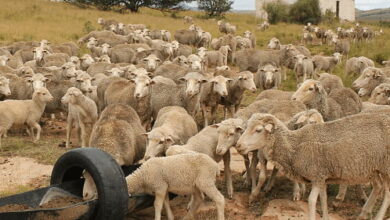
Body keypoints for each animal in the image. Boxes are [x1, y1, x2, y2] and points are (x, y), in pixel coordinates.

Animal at [235, 113, 390, 220]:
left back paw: (377, 216)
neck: (295, 145)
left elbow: (311, 201)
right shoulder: (322, 178)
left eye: (258, 130)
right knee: (378, 187)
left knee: (387, 193)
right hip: (373, 168)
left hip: (386, 167)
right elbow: (323, 199)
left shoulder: (317, 176)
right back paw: (363, 214)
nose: (238, 145)